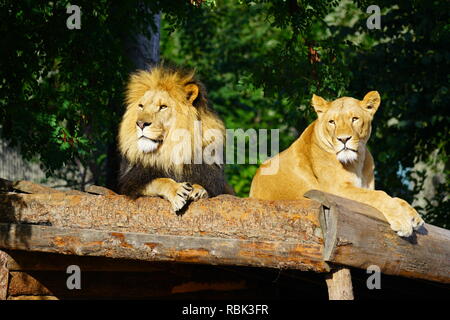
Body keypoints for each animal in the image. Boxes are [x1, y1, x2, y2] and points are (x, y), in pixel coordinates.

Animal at [118, 67, 234, 212]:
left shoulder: (215, 182)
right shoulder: (130, 183)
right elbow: (158, 180)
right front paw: (177, 191)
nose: (140, 124)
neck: (171, 151)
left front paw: (198, 190)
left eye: (163, 107)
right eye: (141, 106)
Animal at [251, 91, 424, 236]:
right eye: (332, 122)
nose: (343, 139)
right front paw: (403, 222)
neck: (358, 161)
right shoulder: (336, 190)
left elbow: (394, 198)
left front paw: (414, 216)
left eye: (354, 119)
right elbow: (379, 195)